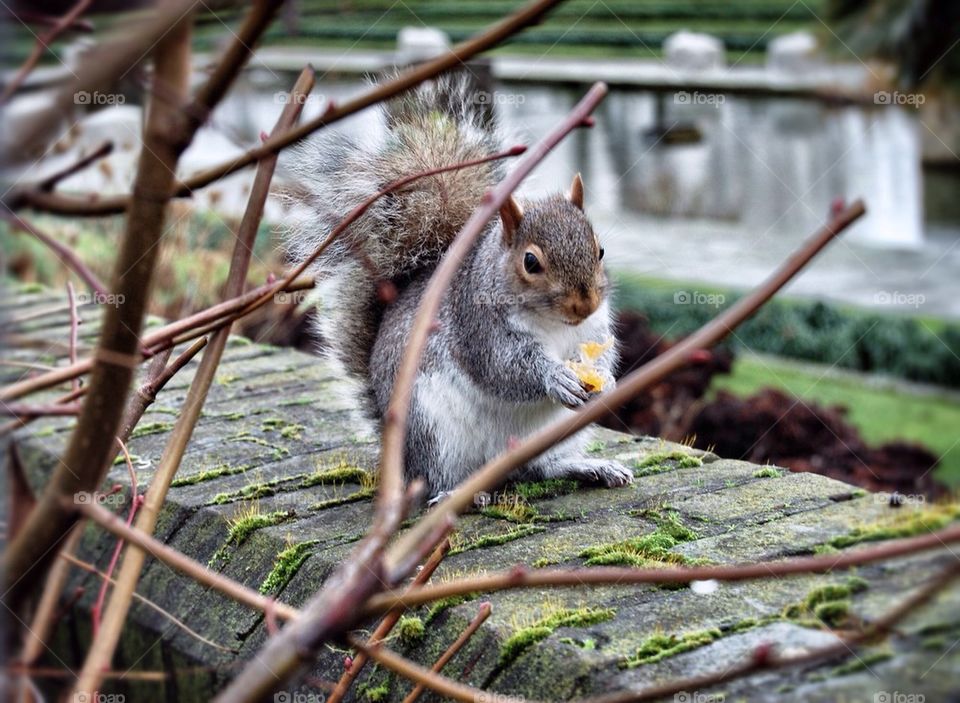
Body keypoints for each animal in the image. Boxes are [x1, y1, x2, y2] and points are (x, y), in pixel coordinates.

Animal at [287, 76, 632, 500]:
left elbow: (603, 350)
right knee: (435, 477)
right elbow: (505, 367)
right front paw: (555, 376)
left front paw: (607, 380)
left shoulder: (594, 329)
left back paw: (585, 467)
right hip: (432, 429)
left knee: (540, 468)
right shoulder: (477, 325)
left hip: (558, 434)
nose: (584, 305)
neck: (553, 323)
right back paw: (454, 493)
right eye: (530, 262)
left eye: (600, 250)